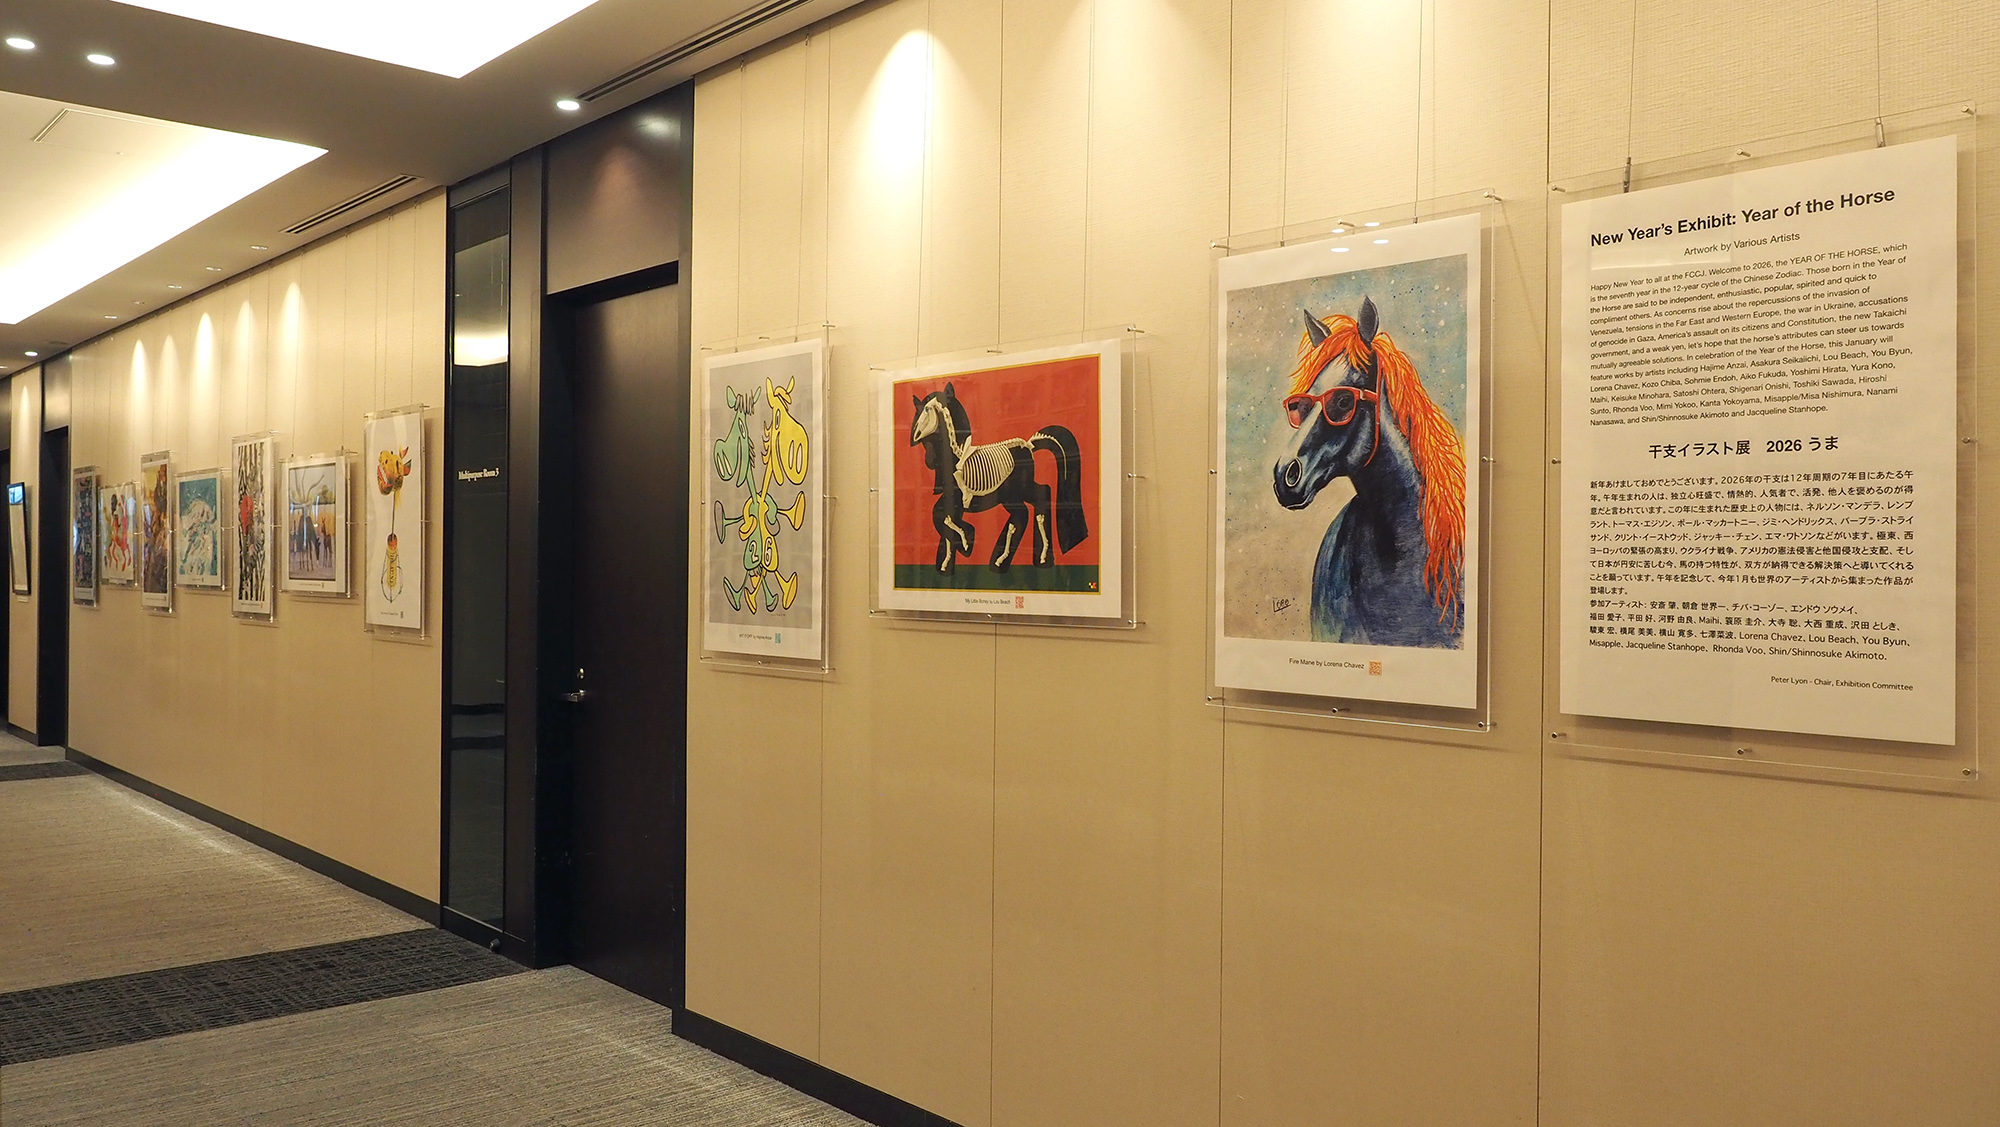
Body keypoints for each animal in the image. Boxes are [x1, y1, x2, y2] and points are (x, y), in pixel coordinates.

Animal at [907, 382, 1087, 574]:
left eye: (927, 409)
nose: (915, 436)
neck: (954, 458)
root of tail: (1028, 445)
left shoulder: (955, 500)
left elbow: (944, 520)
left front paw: (966, 543)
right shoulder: (950, 503)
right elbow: (943, 520)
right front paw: (947, 561)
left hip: (1015, 494)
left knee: (1030, 505)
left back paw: (1021, 557)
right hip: (1016, 494)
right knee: (1037, 498)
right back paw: (1026, 557)